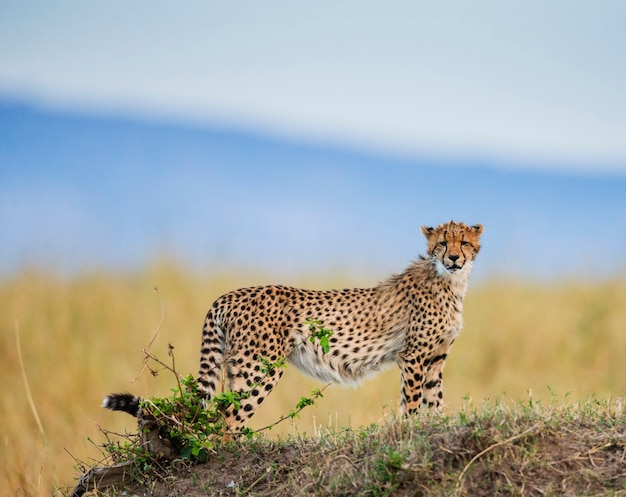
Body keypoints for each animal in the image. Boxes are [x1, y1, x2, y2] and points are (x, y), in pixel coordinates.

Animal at [103, 221, 482, 434]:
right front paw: (411, 431)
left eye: (464, 242)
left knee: (222, 410)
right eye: (442, 243)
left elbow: (435, 399)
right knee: (227, 418)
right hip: (260, 369)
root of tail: (228, 294)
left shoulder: (435, 358)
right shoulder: (414, 357)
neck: (451, 281)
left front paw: (434, 427)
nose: (454, 258)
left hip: (237, 367)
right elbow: (414, 401)